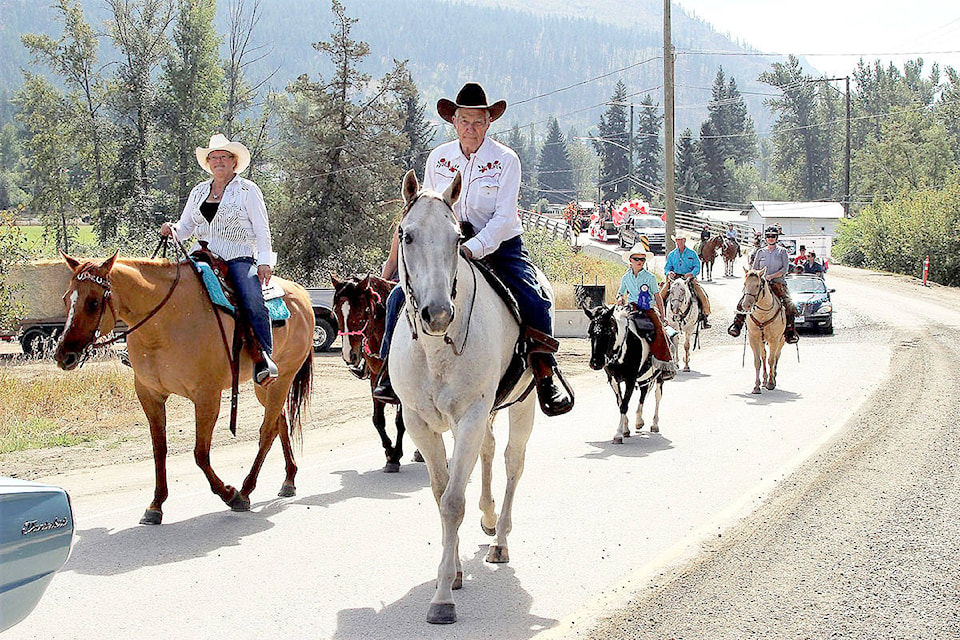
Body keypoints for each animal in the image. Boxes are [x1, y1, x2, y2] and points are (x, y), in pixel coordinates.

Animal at [55, 252, 316, 524]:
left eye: (93, 302)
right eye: (66, 298)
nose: (63, 355)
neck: (164, 323)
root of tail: (302, 294)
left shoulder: (207, 396)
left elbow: (200, 453)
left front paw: (229, 494)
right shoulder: (149, 394)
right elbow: (159, 449)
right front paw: (156, 505)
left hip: (284, 376)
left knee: (267, 431)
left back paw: (245, 491)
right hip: (264, 386)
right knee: (280, 422)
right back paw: (288, 479)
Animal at [330, 272, 408, 472]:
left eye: (360, 312)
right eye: (336, 311)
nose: (349, 355)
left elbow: (401, 421)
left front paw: (396, 455)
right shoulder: (375, 377)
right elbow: (377, 420)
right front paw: (389, 452)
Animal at [388, 169, 540, 624]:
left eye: (457, 238)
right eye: (407, 235)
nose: (437, 314)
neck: (436, 349)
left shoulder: (470, 415)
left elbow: (454, 501)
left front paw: (442, 599)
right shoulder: (421, 422)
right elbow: (442, 494)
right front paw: (452, 571)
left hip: (521, 406)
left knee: (511, 463)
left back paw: (500, 539)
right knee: (487, 453)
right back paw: (488, 519)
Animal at [740, 266, 784, 396]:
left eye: (757, 285)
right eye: (745, 284)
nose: (745, 305)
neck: (763, 315)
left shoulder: (775, 339)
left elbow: (771, 360)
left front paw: (771, 383)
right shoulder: (753, 338)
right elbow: (757, 361)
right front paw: (756, 387)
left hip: (781, 340)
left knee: (777, 356)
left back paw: (773, 378)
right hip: (762, 341)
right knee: (764, 355)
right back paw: (764, 380)